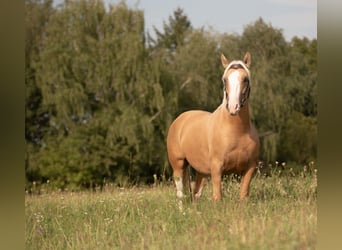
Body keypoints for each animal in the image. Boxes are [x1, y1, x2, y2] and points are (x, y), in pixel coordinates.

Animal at [166, 52, 260, 201]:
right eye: (224, 80)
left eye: (245, 79)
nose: (233, 107)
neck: (237, 131)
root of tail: (180, 119)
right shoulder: (216, 169)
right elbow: (217, 197)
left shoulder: (249, 169)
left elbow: (243, 196)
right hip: (178, 165)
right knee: (181, 195)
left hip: (201, 172)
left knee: (196, 195)